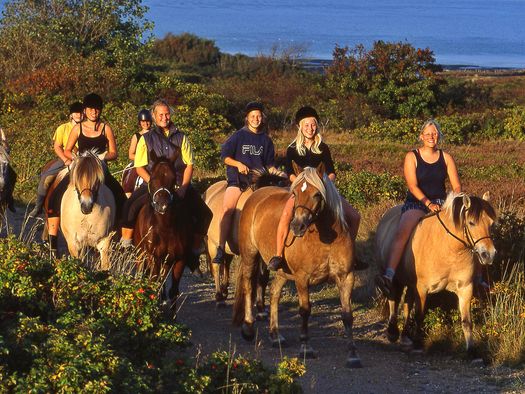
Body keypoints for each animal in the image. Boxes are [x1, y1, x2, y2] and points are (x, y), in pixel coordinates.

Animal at [134, 148, 193, 314]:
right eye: (153, 178)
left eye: (173, 179)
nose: (162, 205)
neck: (166, 227)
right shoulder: (154, 257)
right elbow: (156, 285)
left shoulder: (179, 259)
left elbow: (173, 290)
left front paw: (171, 315)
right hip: (141, 255)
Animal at [204, 169, 286, 308]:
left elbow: (262, 278)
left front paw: (260, 305)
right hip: (212, 244)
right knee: (217, 266)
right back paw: (219, 297)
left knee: (226, 263)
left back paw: (224, 290)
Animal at [231, 162, 362, 366]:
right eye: (295, 193)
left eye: (317, 194)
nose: (297, 226)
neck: (325, 239)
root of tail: (257, 194)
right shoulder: (302, 278)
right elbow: (305, 311)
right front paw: (306, 348)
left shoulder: (346, 277)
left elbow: (347, 315)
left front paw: (353, 353)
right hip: (250, 255)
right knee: (248, 286)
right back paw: (248, 328)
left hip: (282, 271)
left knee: (274, 292)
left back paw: (276, 335)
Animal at [376, 192, 496, 352]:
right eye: (471, 223)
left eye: (491, 224)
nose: (488, 255)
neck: (449, 249)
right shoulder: (422, 288)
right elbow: (419, 315)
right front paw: (418, 344)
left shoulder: (465, 287)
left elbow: (466, 321)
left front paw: (471, 350)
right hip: (393, 276)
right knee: (392, 299)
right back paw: (392, 332)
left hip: (409, 282)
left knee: (407, 303)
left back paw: (405, 336)